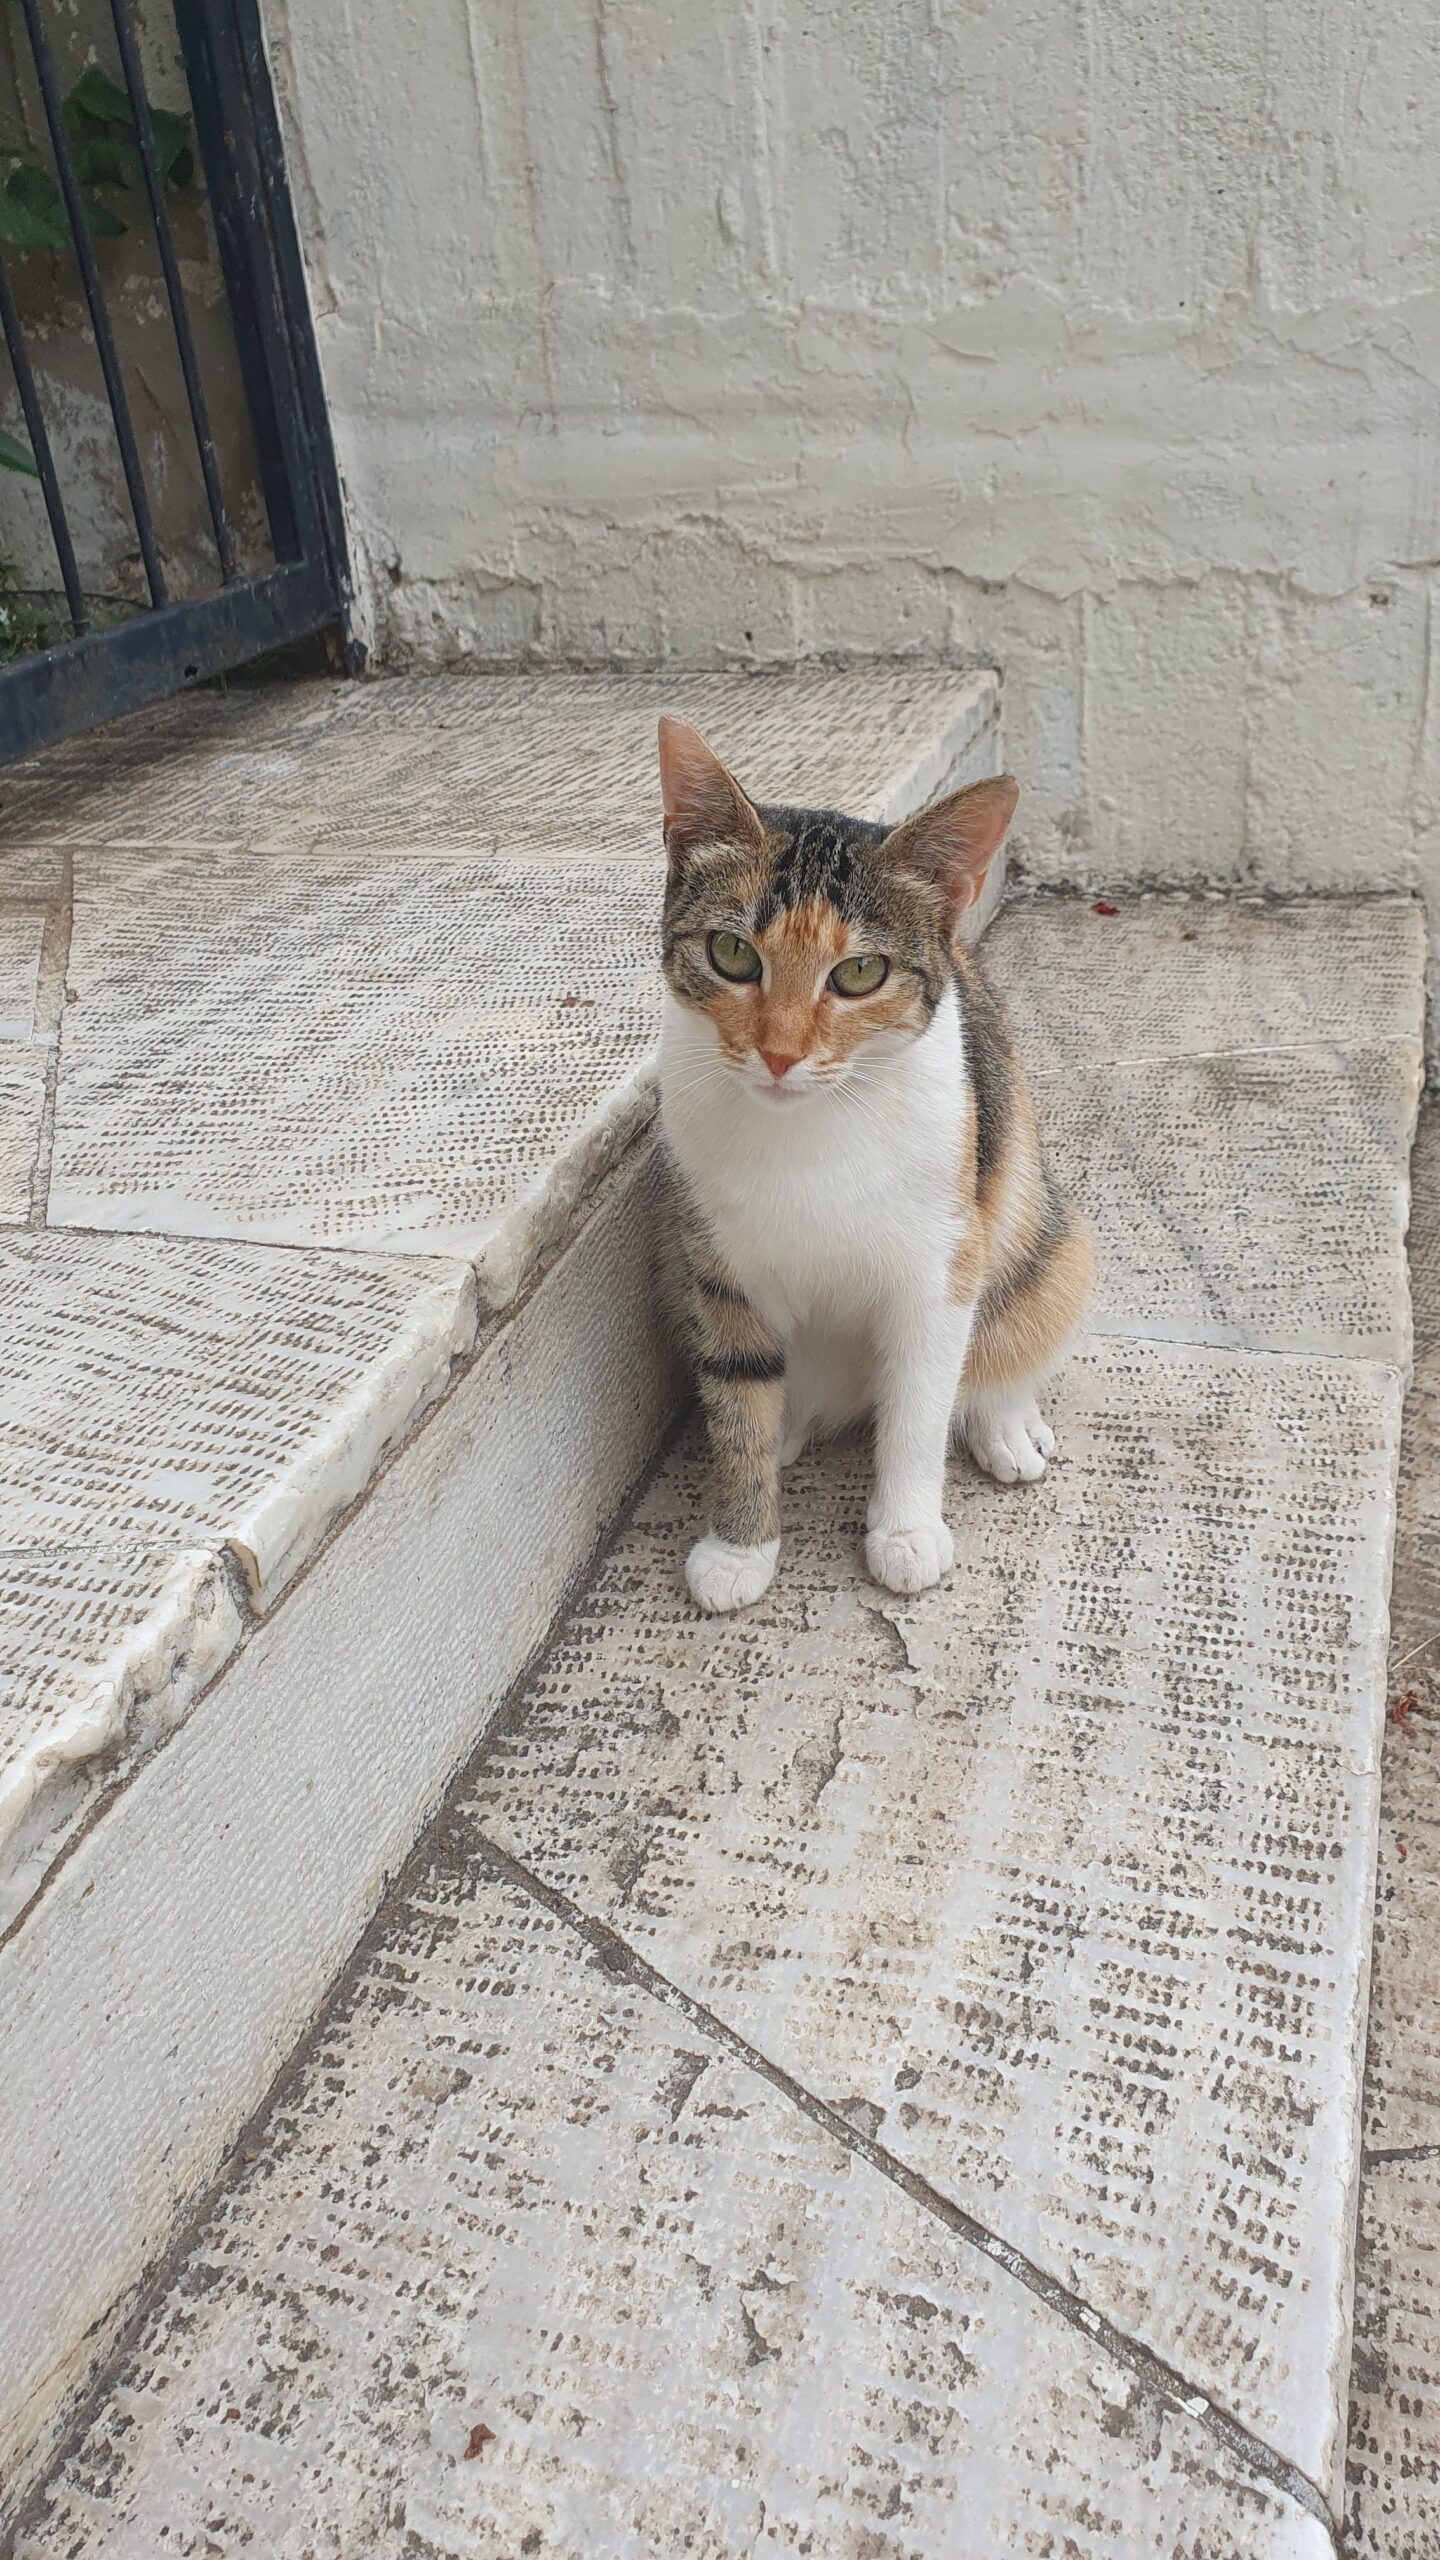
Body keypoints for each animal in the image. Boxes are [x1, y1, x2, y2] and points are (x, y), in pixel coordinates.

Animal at [656, 714, 1094, 1614]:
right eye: (730, 954)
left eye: (860, 971)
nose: (779, 1055)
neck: (810, 1127)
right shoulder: (717, 1265)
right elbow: (737, 1404)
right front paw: (740, 1545)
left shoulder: (938, 1264)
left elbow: (921, 1405)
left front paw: (906, 1532)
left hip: (1045, 1235)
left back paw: (1005, 1425)